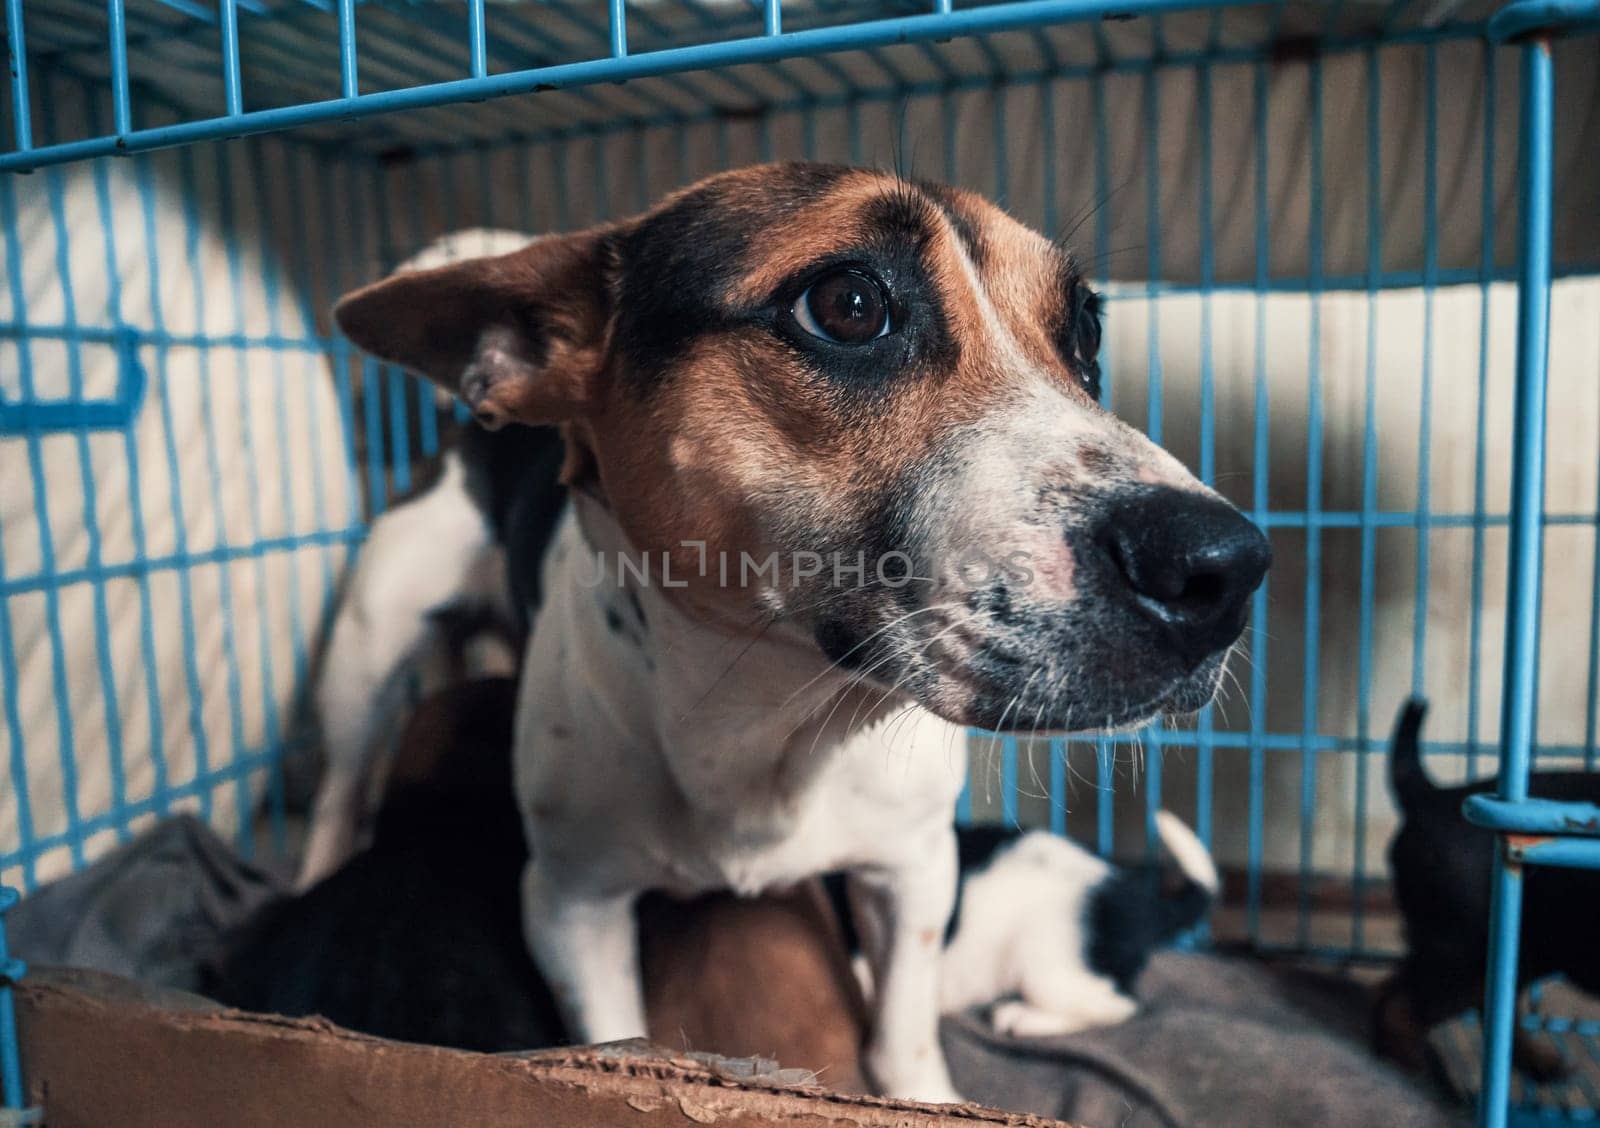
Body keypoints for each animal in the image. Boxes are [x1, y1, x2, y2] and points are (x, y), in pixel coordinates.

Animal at [305, 160, 1267, 1100]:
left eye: (1086, 336)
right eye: (847, 304)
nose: (1226, 570)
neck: (771, 717)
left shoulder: (915, 870)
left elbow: (905, 1038)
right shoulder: (571, 907)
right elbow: (613, 1035)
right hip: (363, 655)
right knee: (337, 793)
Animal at [1376, 694, 1600, 1081]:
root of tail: (1430, 795)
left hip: (1514, 952)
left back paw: (1538, 1062)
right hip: (1469, 952)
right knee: (1400, 1003)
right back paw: (1415, 1073)